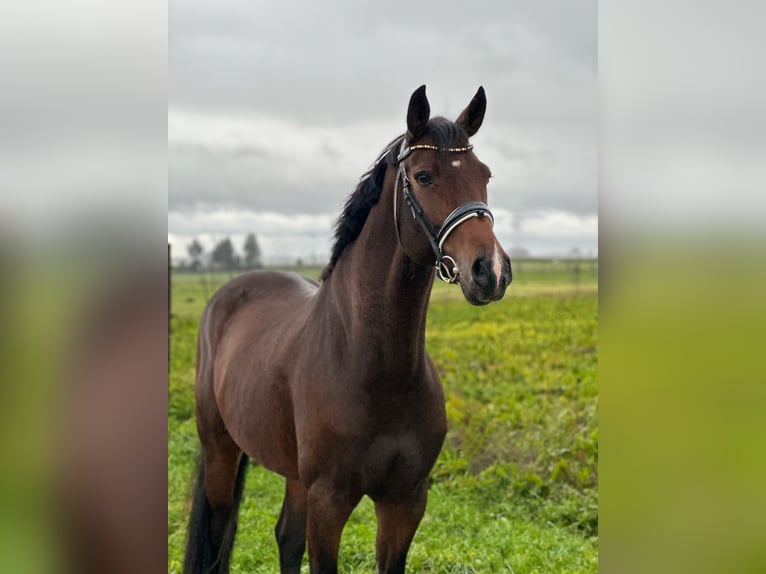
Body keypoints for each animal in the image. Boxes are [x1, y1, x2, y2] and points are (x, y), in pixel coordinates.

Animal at [183, 85, 512, 574]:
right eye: (423, 176)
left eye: (484, 174)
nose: (490, 271)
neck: (379, 368)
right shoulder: (330, 501)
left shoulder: (405, 501)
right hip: (220, 449)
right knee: (220, 536)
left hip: (293, 473)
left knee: (286, 537)